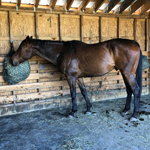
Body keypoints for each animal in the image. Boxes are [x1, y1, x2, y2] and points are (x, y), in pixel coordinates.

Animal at [11, 36, 142, 122]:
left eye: (21, 47)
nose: (13, 61)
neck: (63, 52)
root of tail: (134, 43)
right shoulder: (78, 78)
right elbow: (84, 92)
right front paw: (88, 109)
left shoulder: (71, 77)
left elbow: (73, 94)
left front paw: (72, 112)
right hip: (124, 73)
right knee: (129, 90)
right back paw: (125, 110)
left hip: (128, 74)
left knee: (135, 90)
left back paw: (134, 115)